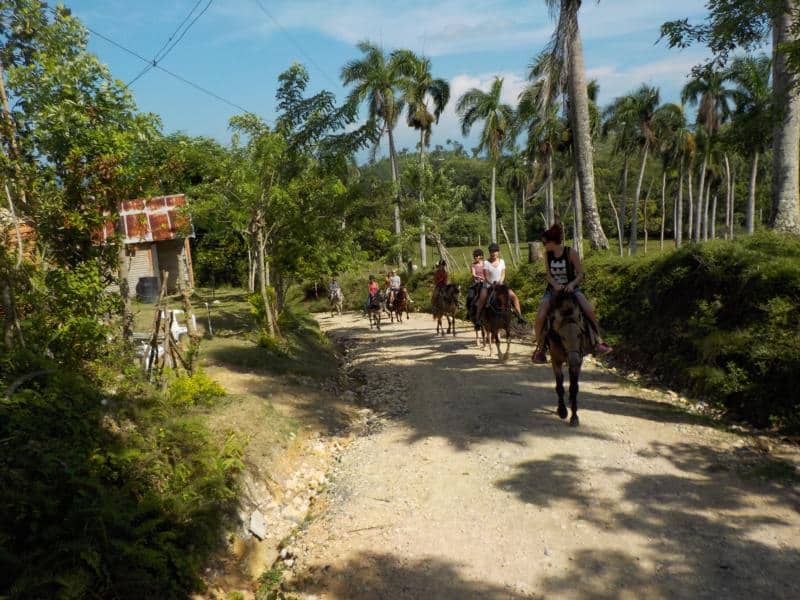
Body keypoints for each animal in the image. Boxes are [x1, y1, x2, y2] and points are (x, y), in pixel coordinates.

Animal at [544, 291, 593, 427]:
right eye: (562, 336)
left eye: (580, 334)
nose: (573, 359)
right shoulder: (556, 360)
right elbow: (560, 385)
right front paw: (562, 411)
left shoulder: (578, 362)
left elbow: (574, 387)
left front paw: (574, 417)